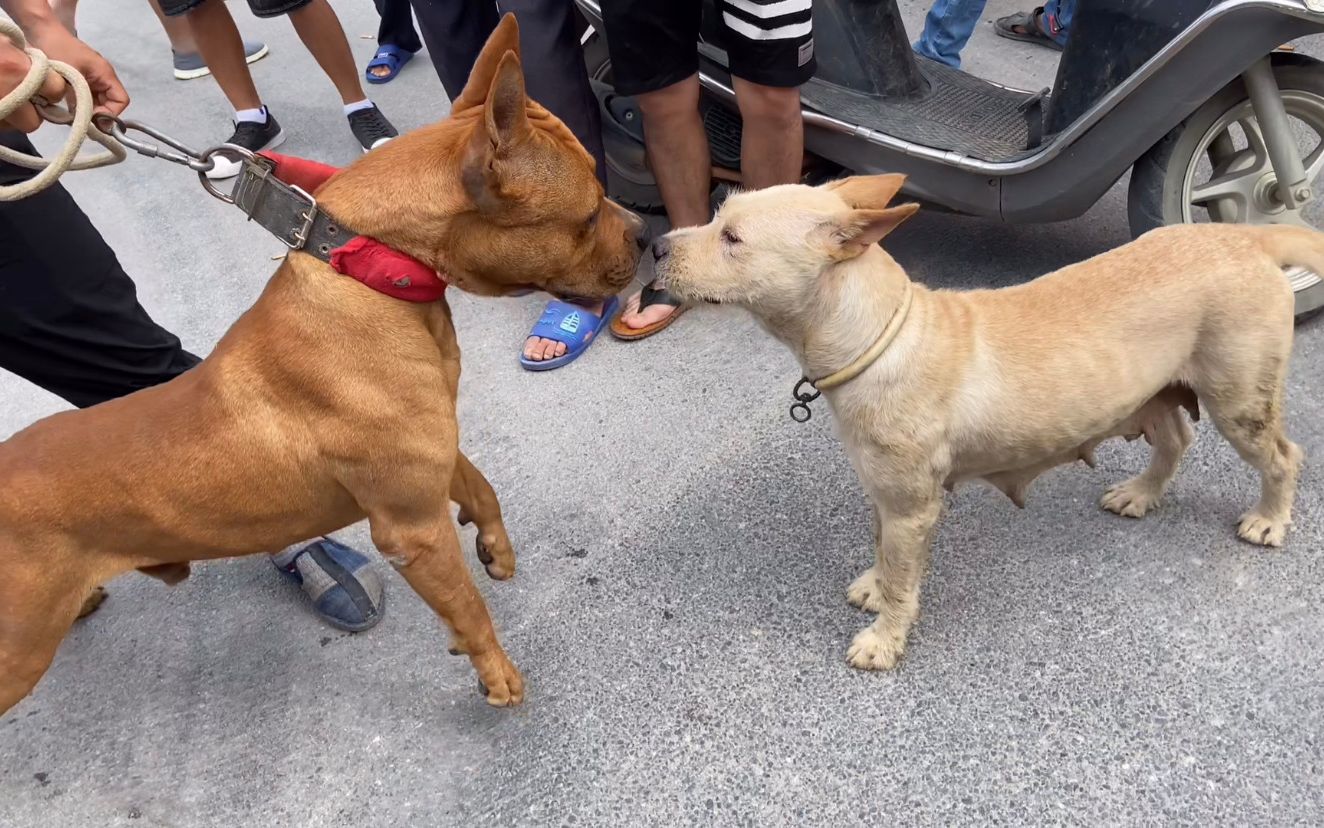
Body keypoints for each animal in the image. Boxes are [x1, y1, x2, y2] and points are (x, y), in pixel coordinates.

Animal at [0, 17, 646, 715]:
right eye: (589, 213)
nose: (644, 232)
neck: (369, 270)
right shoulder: (411, 529)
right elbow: (468, 605)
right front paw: (494, 672)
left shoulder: (431, 453)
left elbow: (480, 487)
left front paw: (494, 547)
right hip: (18, 652)